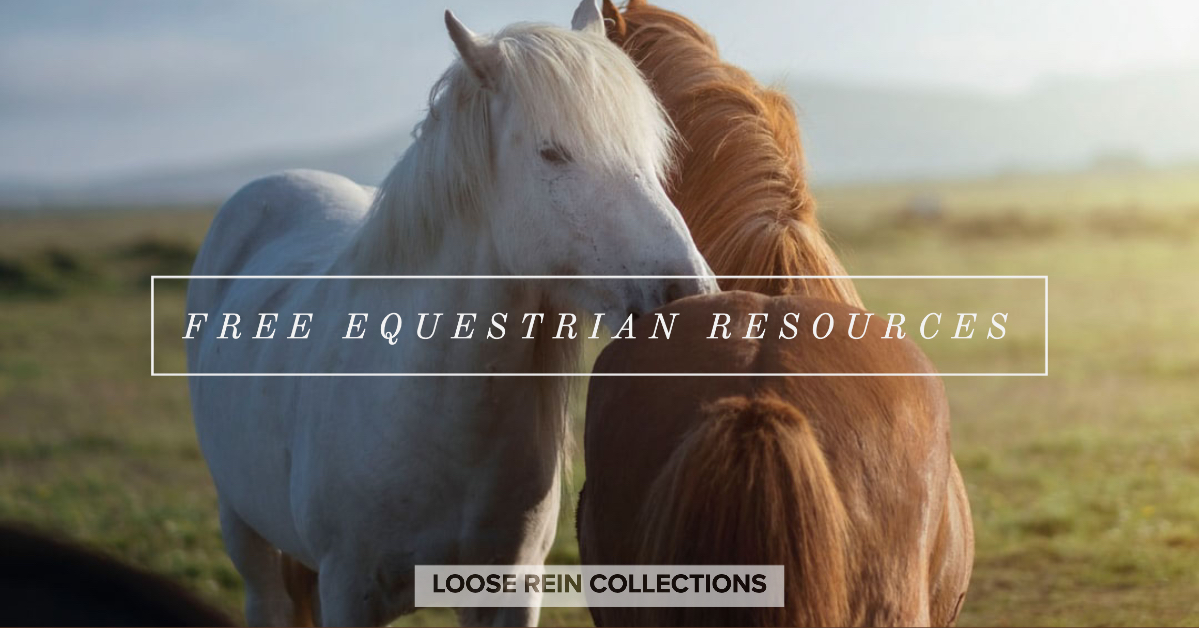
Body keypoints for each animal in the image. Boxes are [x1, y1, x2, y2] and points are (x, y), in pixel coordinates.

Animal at [186, 2, 716, 625]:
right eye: (552, 153)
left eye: (649, 152)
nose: (690, 296)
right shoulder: (348, 591)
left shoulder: (508, 590)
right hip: (242, 530)